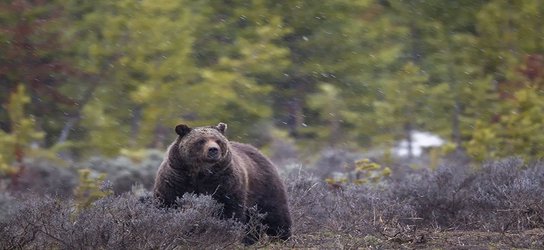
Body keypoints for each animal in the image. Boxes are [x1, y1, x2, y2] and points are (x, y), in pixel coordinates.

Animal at [153, 122, 294, 243]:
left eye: (218, 141)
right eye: (200, 141)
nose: (213, 150)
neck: (200, 173)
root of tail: (259, 152)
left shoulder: (225, 182)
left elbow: (230, 210)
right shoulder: (175, 180)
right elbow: (167, 203)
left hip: (265, 187)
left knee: (276, 215)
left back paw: (282, 238)